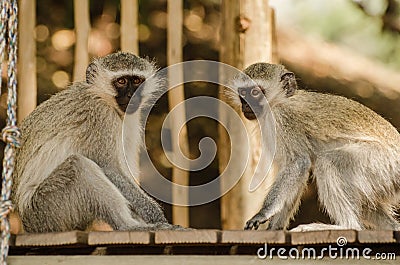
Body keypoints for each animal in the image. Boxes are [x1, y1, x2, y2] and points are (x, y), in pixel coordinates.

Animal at [12, 51, 178, 231]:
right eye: (121, 81)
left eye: (136, 81)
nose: (132, 95)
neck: (102, 97)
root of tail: (27, 224)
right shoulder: (101, 114)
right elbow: (110, 168)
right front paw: (156, 216)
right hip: (45, 209)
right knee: (79, 166)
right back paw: (127, 226)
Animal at [227, 62, 400, 229]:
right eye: (243, 93)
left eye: (255, 92)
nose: (246, 106)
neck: (280, 101)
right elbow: (297, 175)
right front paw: (275, 228)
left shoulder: (282, 119)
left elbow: (298, 163)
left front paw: (264, 212)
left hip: (380, 164)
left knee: (327, 163)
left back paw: (347, 226)